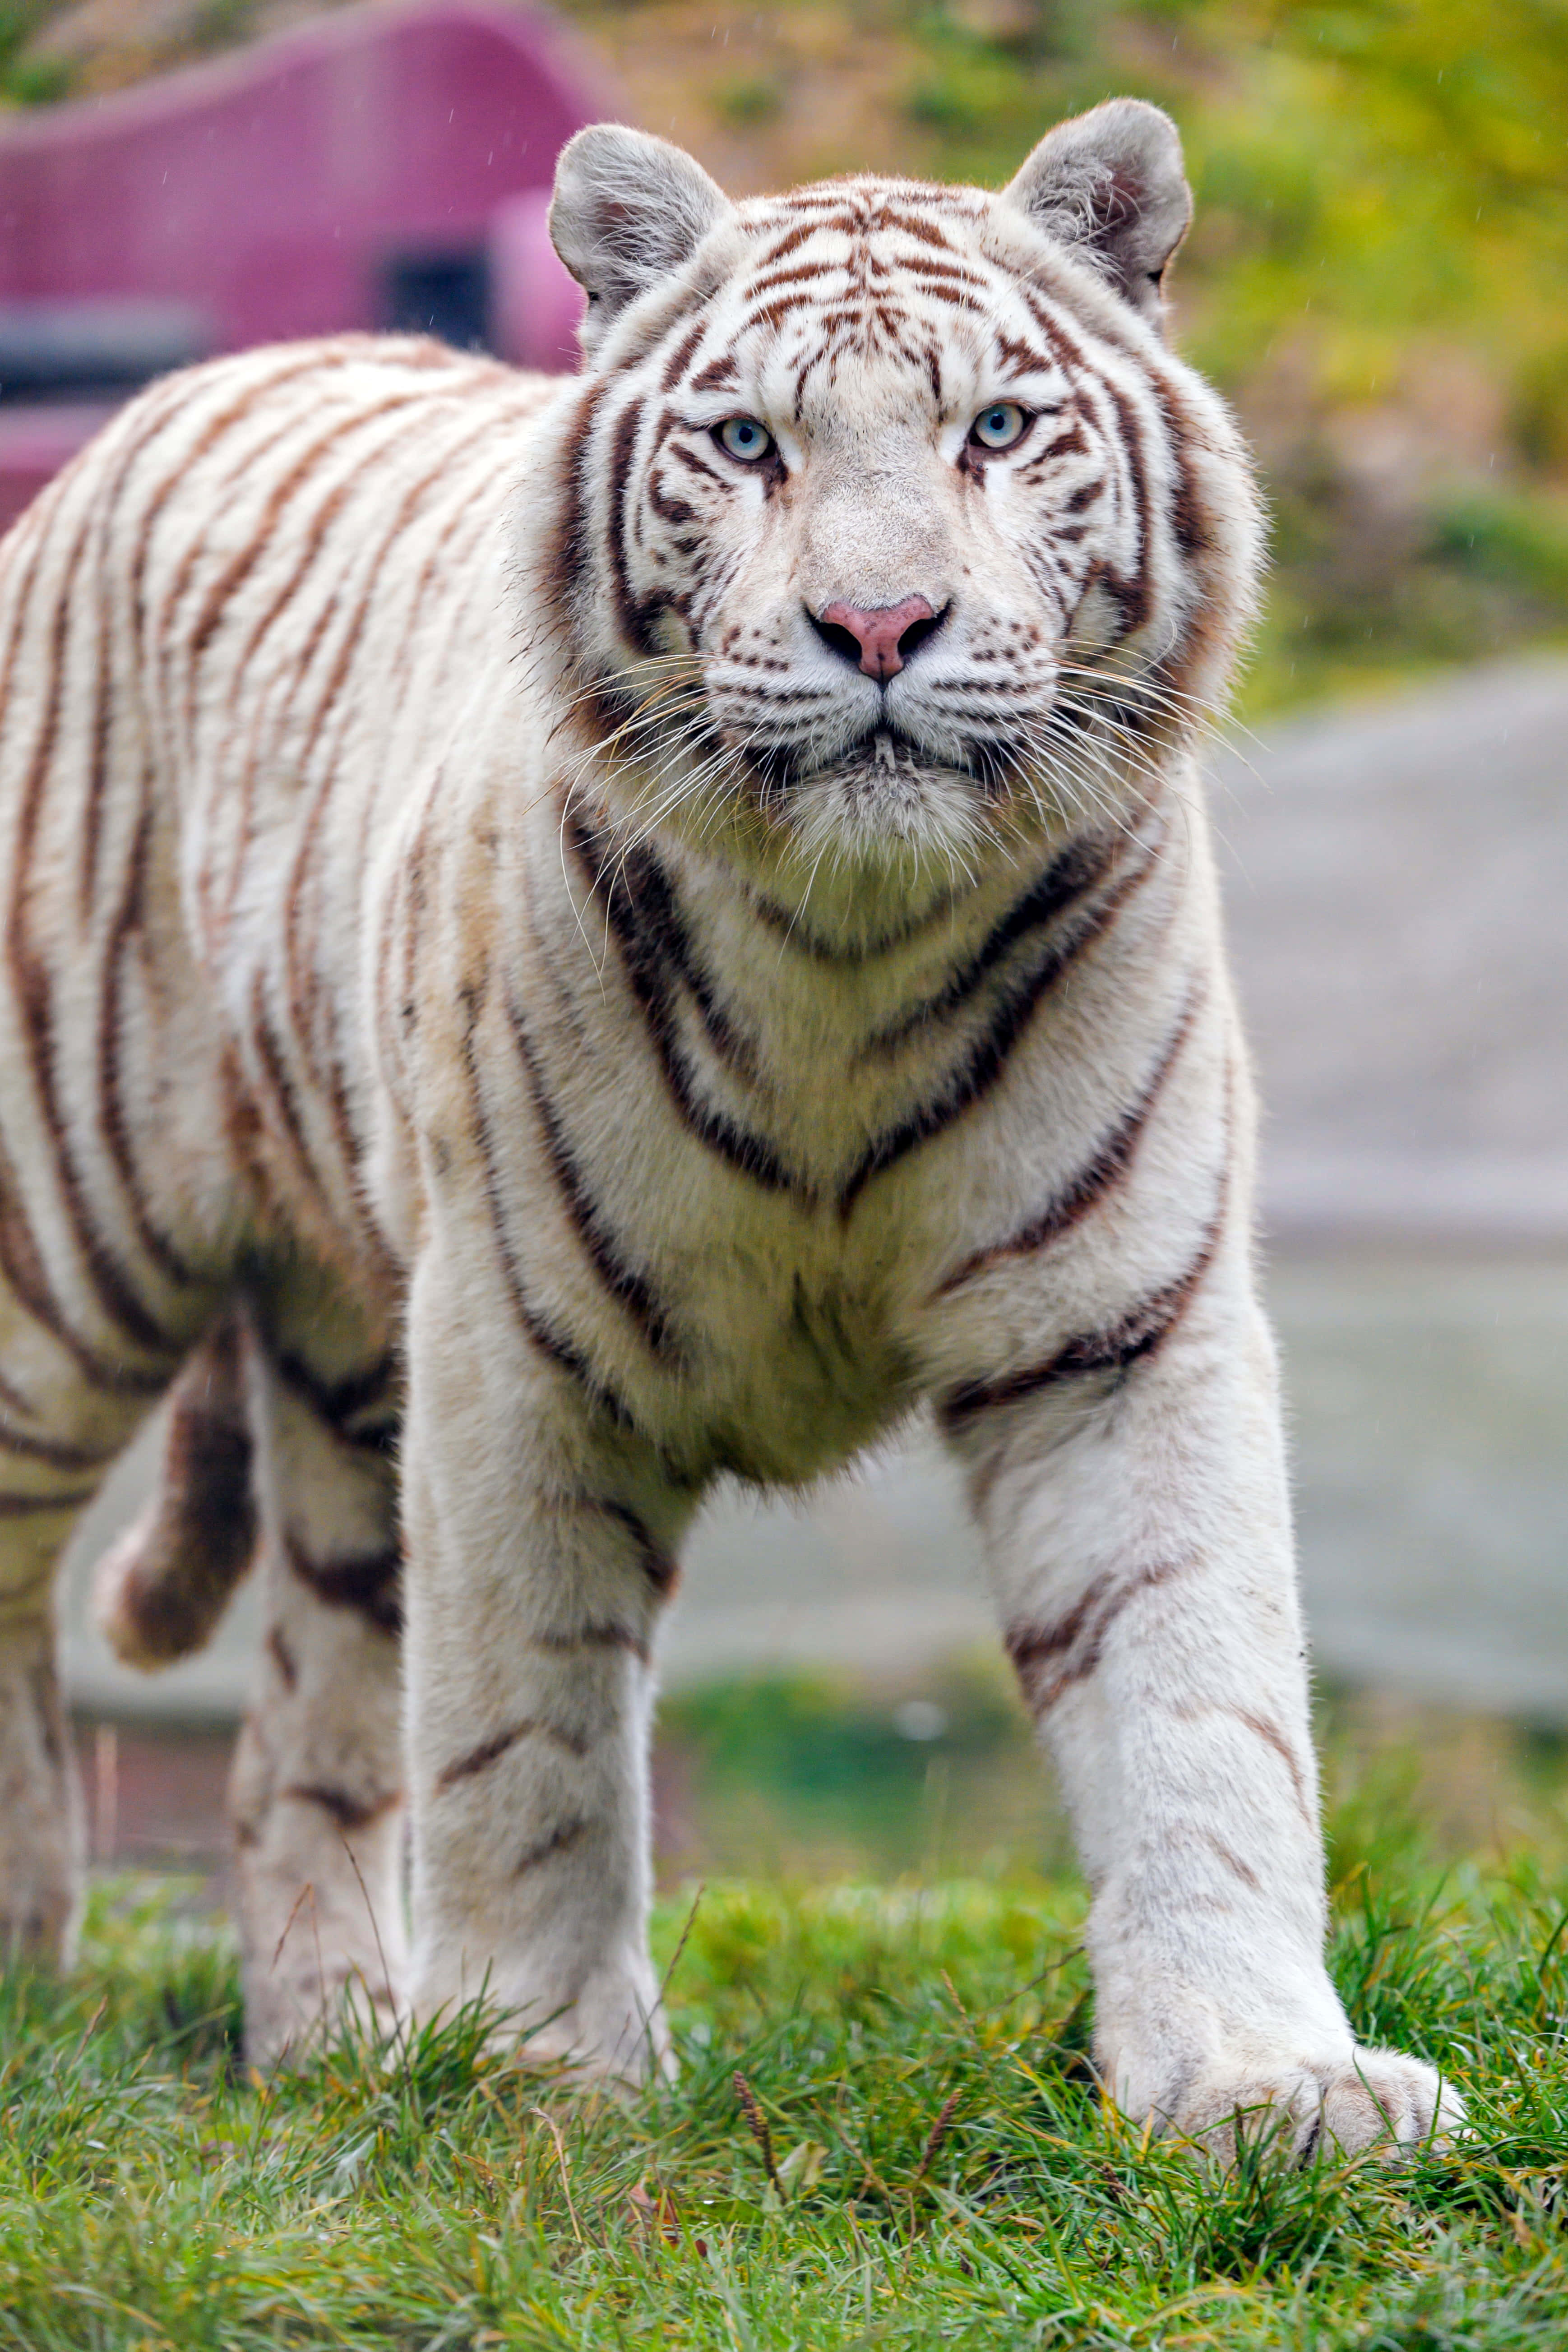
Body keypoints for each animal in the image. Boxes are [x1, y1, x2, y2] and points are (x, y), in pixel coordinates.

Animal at [0, 97, 1459, 2160]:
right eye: (749, 441)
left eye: (990, 429)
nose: (877, 622)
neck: (849, 951)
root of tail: (189, 382)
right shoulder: (513, 1347)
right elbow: (527, 1738)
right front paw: (542, 2071)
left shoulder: (1116, 1322)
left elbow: (1202, 1700)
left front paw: (1263, 2079)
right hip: (68, 1253)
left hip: (344, 1375)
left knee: (298, 1724)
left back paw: (336, 2040)